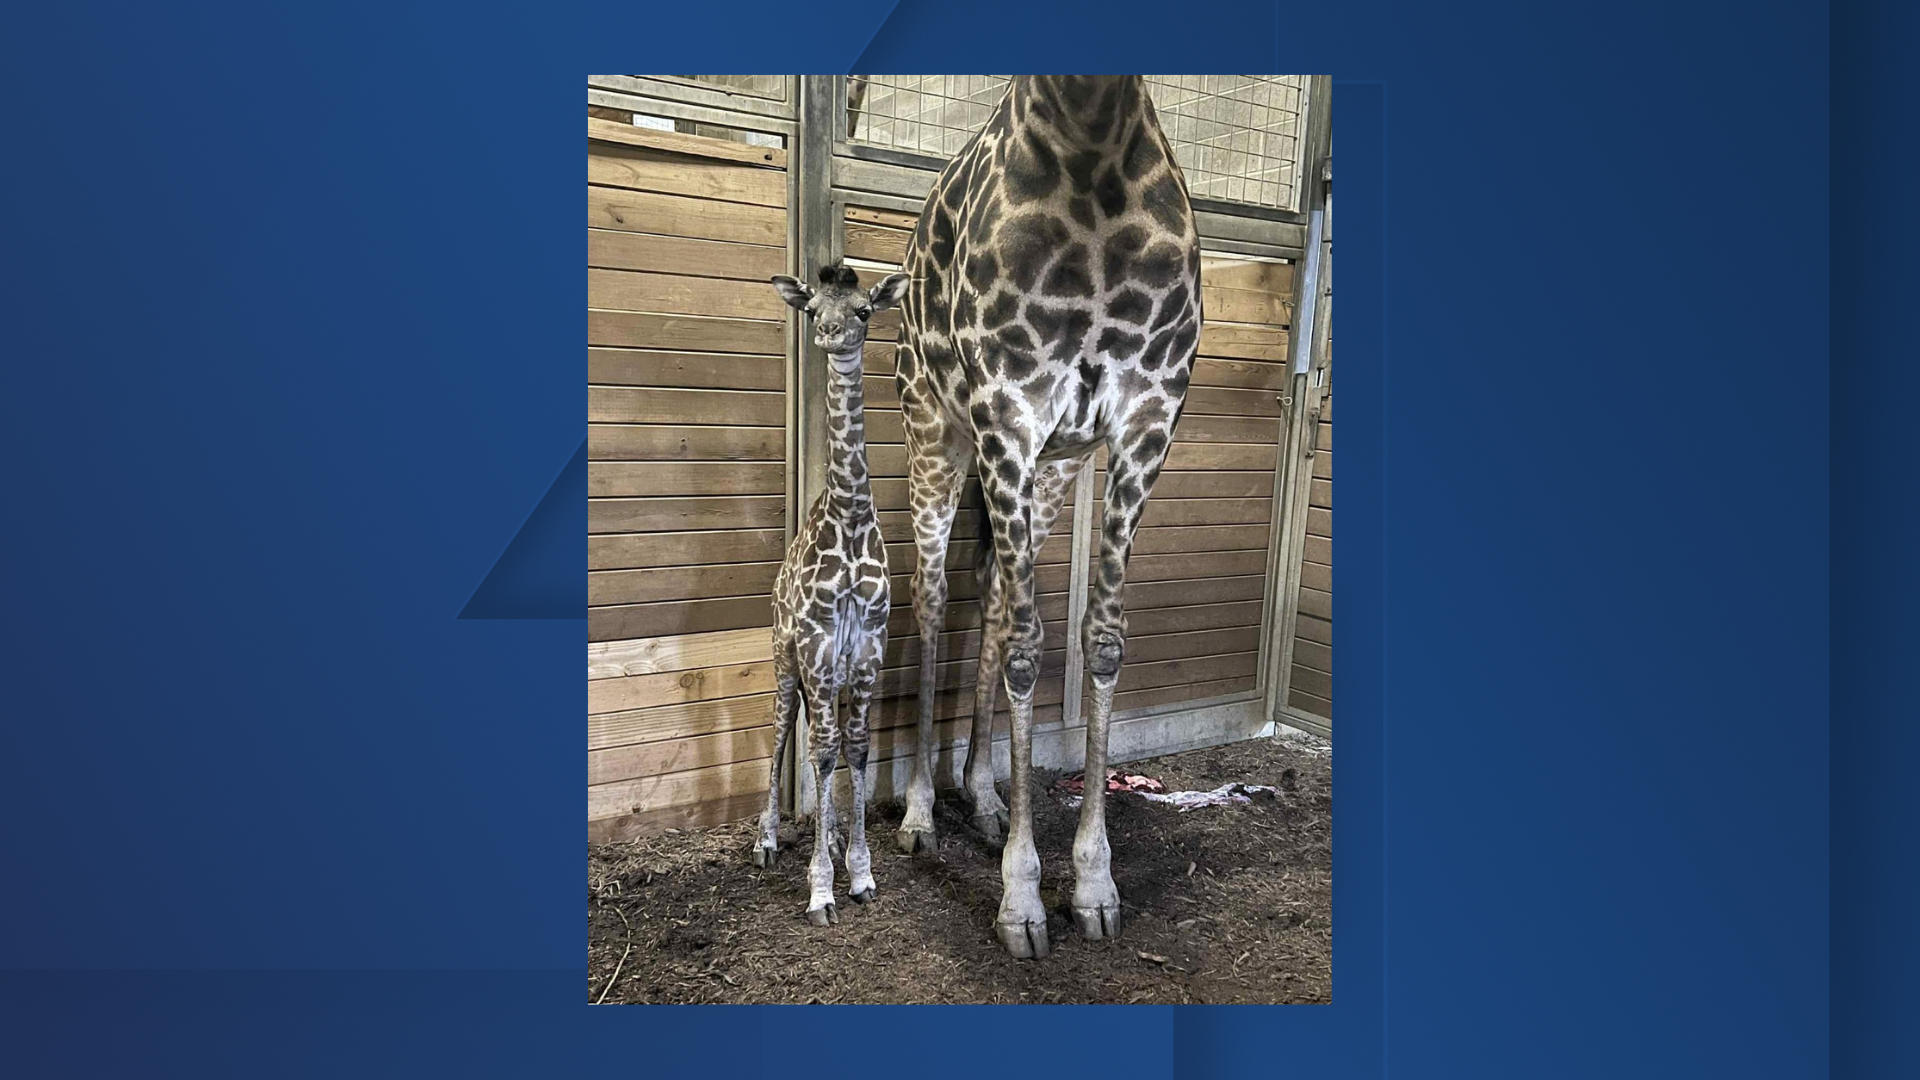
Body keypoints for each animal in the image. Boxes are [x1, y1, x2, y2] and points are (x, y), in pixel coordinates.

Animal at [891, 76, 1204, 958]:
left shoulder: (1144, 421)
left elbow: (1100, 637)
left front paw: (1094, 885)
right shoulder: (1008, 409)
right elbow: (1030, 650)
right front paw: (1023, 901)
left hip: (1051, 471)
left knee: (995, 603)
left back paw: (983, 795)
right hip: (937, 431)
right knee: (932, 602)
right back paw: (921, 813)